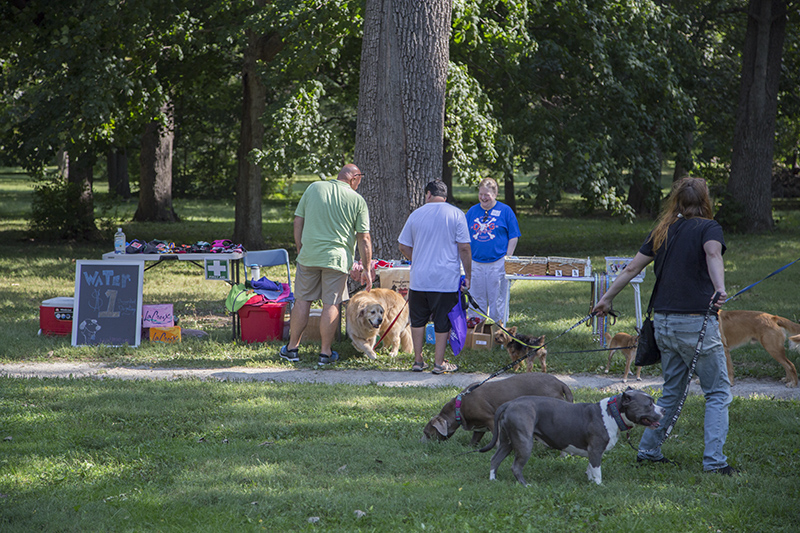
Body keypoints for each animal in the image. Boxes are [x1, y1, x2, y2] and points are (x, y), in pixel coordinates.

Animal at [422, 372, 572, 446]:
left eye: (427, 433)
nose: (421, 443)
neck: (458, 408)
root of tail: (560, 383)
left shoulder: (490, 419)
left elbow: (497, 438)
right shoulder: (479, 428)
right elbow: (474, 440)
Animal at [482, 388, 664, 484]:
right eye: (649, 404)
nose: (663, 409)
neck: (613, 413)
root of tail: (510, 403)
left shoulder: (592, 452)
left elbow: (590, 468)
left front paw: (590, 482)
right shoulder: (595, 450)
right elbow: (597, 470)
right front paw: (599, 486)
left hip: (507, 441)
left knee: (495, 459)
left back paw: (493, 480)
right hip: (524, 442)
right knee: (516, 466)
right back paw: (526, 485)